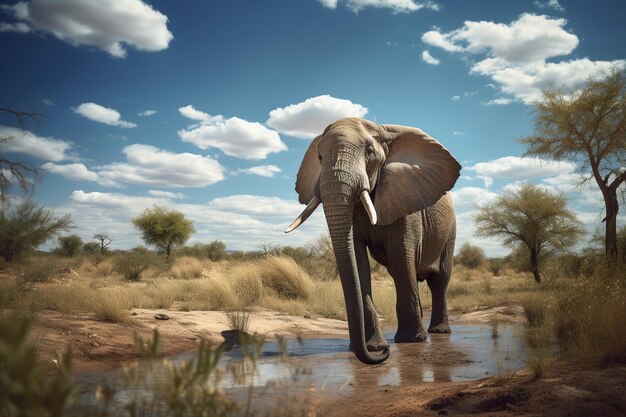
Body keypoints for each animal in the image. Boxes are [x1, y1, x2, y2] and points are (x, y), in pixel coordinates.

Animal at [282, 118, 458, 364]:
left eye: (369, 152)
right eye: (320, 157)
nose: (385, 354)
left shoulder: (405, 200)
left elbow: (401, 258)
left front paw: (409, 341)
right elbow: (358, 262)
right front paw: (375, 347)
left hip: (450, 230)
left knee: (439, 279)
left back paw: (438, 332)